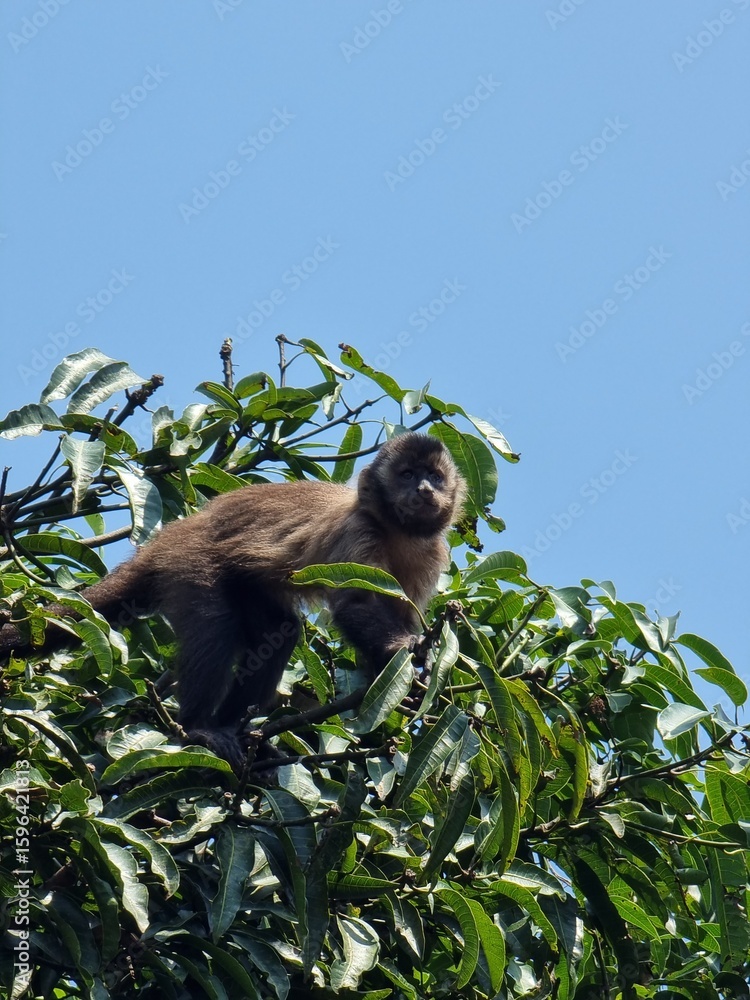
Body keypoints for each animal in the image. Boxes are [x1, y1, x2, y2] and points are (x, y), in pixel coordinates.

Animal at [0, 433, 465, 768]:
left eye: (434, 476)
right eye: (406, 474)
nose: (425, 488)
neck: (396, 530)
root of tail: (172, 534)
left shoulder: (431, 551)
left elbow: (398, 613)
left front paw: (403, 679)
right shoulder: (358, 530)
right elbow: (356, 604)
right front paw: (402, 649)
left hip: (244, 584)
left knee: (278, 632)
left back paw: (239, 732)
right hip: (188, 562)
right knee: (213, 623)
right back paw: (199, 728)